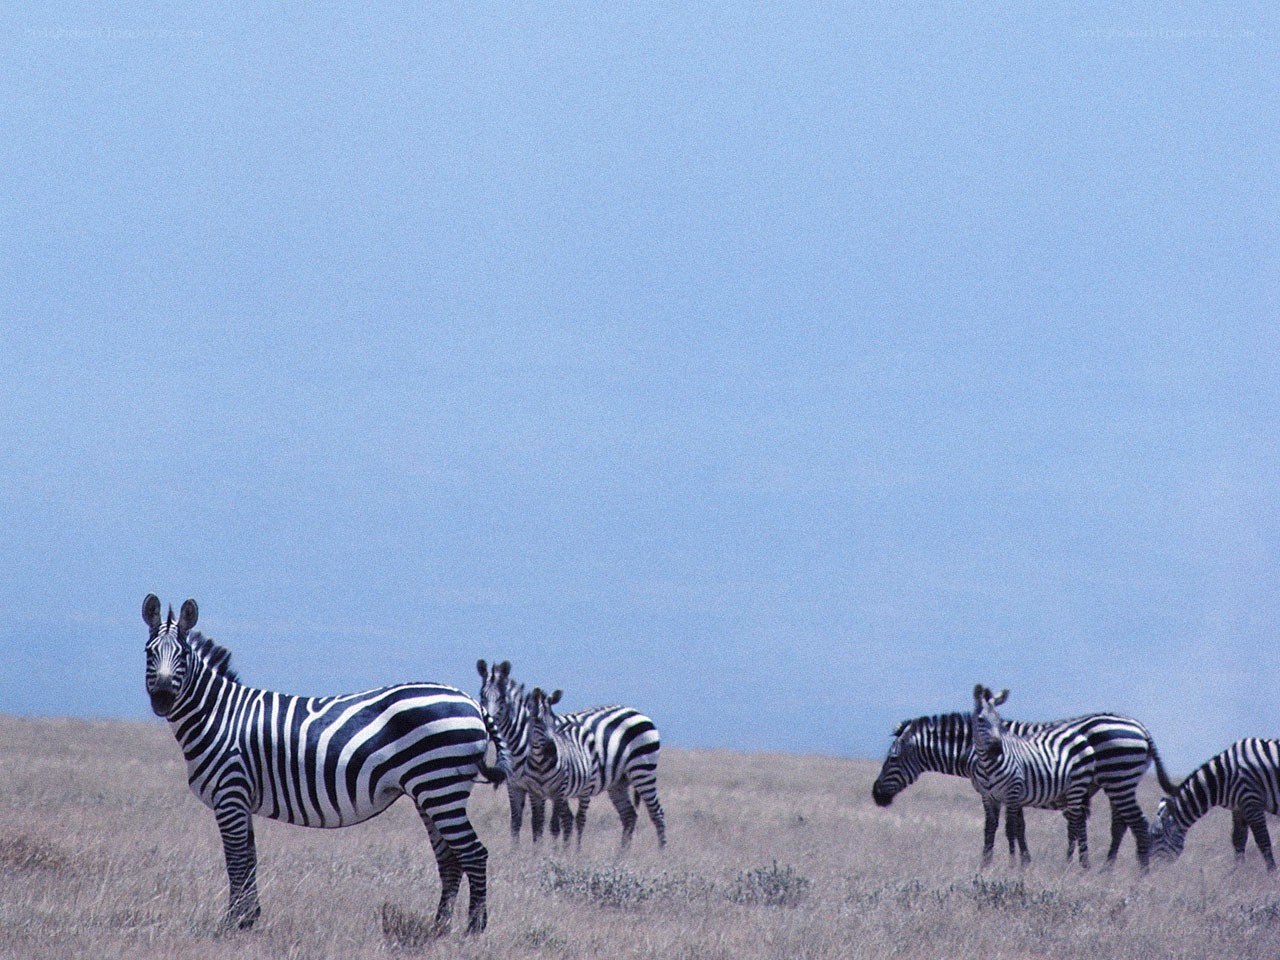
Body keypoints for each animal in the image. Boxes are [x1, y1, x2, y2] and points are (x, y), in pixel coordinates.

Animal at [143, 595, 509, 934]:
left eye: (183, 656)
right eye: (149, 653)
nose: (161, 697)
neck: (218, 715)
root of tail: (472, 701)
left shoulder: (230, 793)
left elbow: (236, 861)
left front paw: (233, 922)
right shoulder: (240, 799)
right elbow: (249, 860)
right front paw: (248, 919)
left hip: (440, 786)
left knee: (474, 853)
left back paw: (474, 928)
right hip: (431, 792)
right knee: (450, 859)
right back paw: (439, 927)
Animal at [873, 708, 1178, 867]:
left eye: (892, 759)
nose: (876, 795)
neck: (974, 749)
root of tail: (1141, 727)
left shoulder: (1013, 790)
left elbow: (1013, 829)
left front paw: (1018, 864)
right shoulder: (1008, 794)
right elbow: (1014, 828)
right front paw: (1017, 862)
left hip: (1118, 778)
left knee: (1134, 823)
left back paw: (1135, 871)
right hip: (1118, 783)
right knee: (1120, 824)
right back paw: (1108, 868)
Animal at [1150, 738, 1280, 871]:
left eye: (1156, 835)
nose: (1152, 870)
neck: (1224, 777)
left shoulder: (1252, 801)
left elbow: (1263, 840)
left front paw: (1272, 871)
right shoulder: (1239, 807)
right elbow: (1238, 840)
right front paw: (1238, 870)